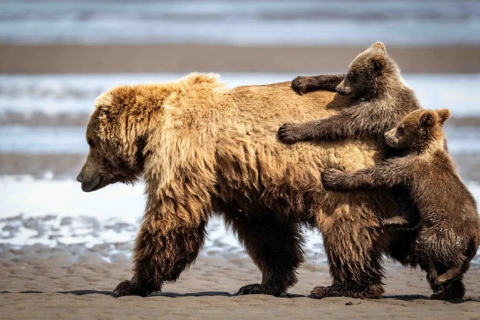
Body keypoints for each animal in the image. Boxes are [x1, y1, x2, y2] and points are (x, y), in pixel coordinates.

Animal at [79, 72, 400, 298]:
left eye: (90, 141)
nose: (81, 177)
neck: (153, 127)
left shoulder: (183, 151)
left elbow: (172, 216)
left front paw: (131, 283)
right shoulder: (244, 185)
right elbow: (267, 232)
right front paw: (262, 283)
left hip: (344, 170)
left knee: (346, 228)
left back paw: (346, 286)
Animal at [320, 108, 480, 300]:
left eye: (401, 128)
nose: (386, 135)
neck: (423, 148)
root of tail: (474, 236)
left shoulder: (409, 166)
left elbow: (376, 175)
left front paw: (332, 176)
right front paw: (395, 220)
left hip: (445, 230)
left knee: (435, 246)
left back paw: (445, 276)